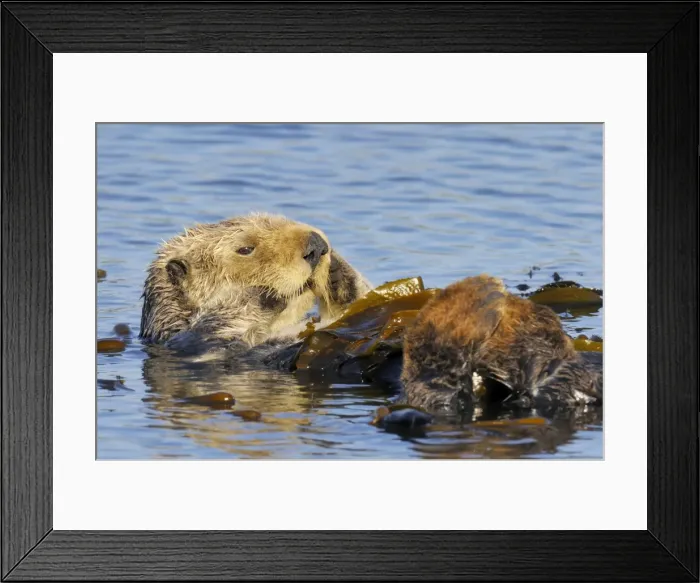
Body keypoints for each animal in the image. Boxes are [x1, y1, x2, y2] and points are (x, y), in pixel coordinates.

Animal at [139, 213, 372, 359]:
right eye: (245, 249)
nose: (317, 245)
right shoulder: (199, 346)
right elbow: (218, 326)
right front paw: (262, 293)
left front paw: (337, 272)